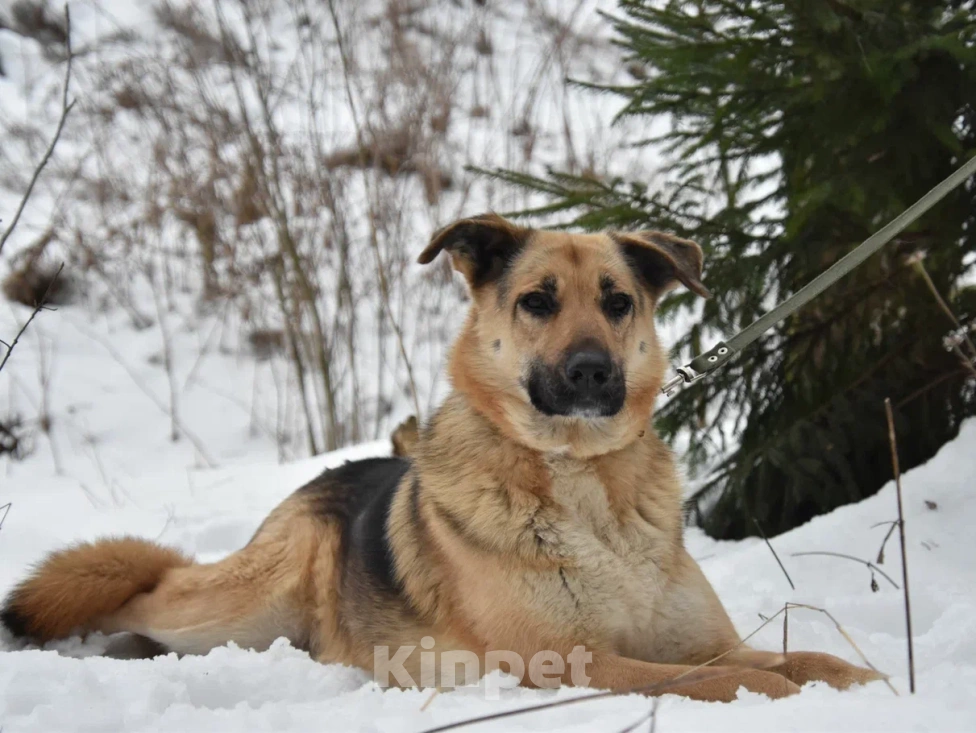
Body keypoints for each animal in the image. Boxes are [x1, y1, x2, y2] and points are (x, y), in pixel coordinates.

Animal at [0, 214, 884, 700]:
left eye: (618, 301)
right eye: (537, 302)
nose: (592, 373)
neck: (586, 483)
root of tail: (325, 480)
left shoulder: (698, 639)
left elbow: (799, 653)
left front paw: (867, 681)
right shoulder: (572, 661)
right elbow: (726, 679)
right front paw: (781, 693)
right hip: (235, 603)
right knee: (145, 587)